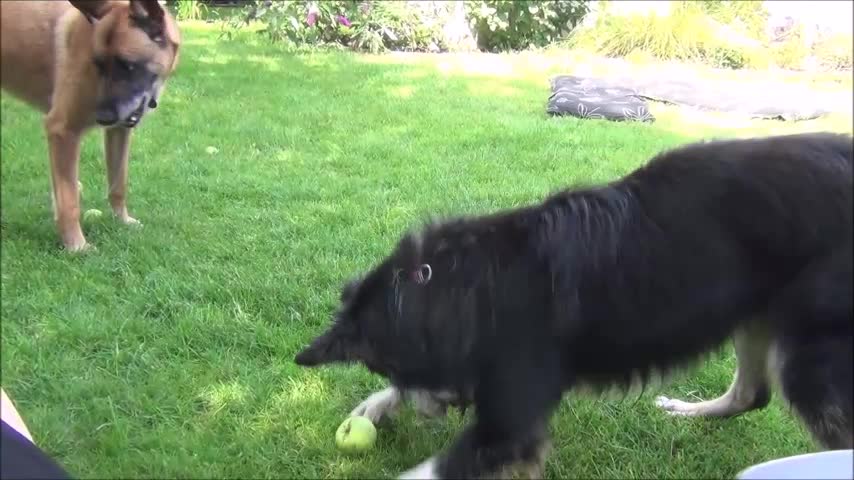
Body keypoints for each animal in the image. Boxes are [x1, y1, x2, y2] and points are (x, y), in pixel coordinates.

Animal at [0, 0, 181, 253]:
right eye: (98, 64)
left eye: (127, 66)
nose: (102, 117)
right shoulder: (62, 131)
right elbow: (69, 201)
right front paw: (76, 246)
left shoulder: (119, 131)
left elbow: (118, 185)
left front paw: (122, 221)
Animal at [296, 132, 854, 480]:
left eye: (383, 364)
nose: (435, 410)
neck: (455, 285)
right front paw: (374, 406)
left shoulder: (510, 427)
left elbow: (438, 466)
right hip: (755, 309)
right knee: (750, 395)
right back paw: (687, 411)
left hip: (807, 357)